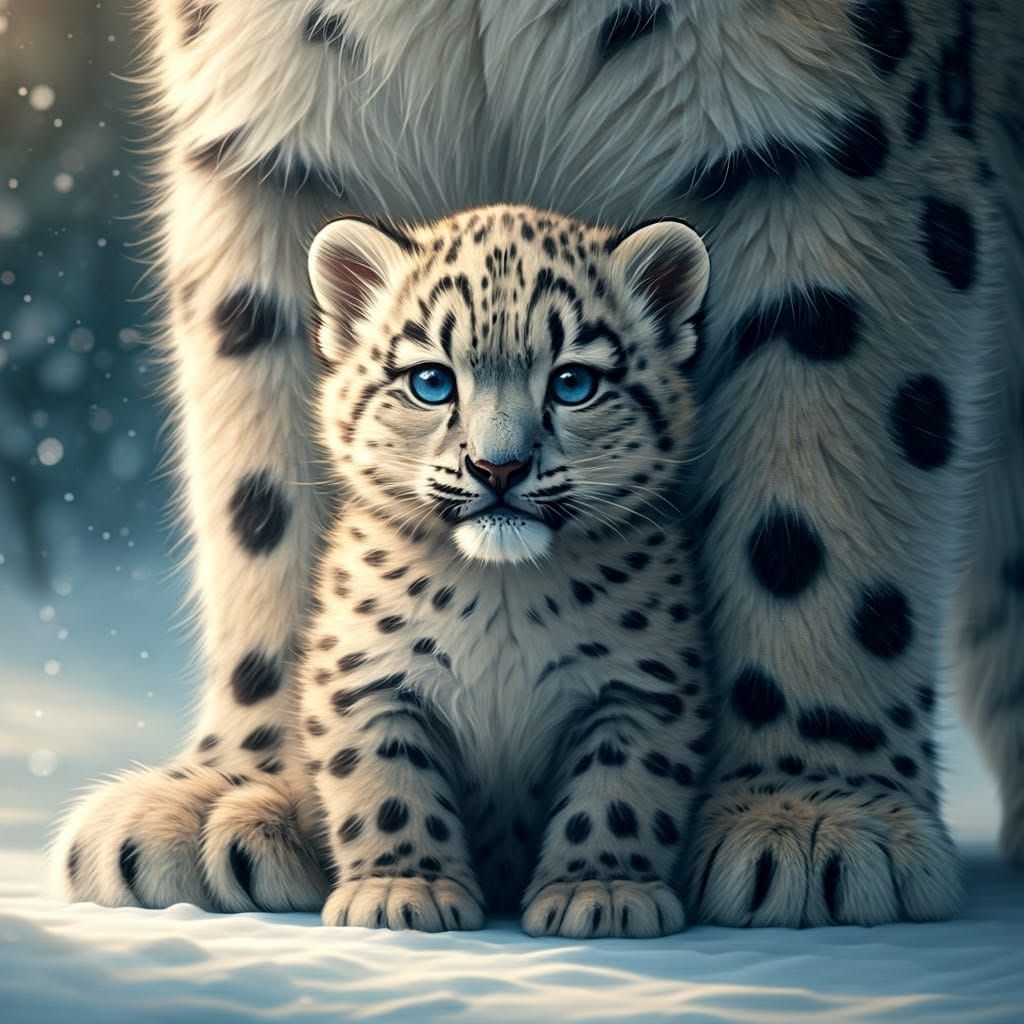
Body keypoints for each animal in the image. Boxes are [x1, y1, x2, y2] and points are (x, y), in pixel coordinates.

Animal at [52, 0, 1023, 933]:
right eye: (430, 380)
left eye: (574, 383)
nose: (499, 466)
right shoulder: (266, 123)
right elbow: (256, 485)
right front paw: (243, 801)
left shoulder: (832, 130)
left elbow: (818, 496)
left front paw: (810, 818)